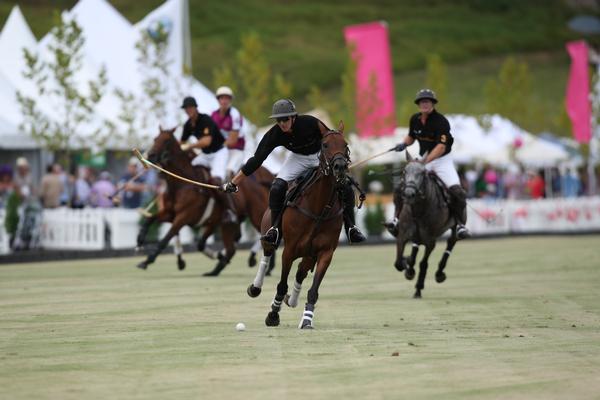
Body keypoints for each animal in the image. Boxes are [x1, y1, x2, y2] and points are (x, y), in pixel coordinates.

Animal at [136, 127, 272, 276]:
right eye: (155, 138)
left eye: (166, 140)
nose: (150, 155)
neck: (181, 185)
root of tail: (261, 182)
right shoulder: (169, 213)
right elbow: (150, 219)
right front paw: (140, 240)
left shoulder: (183, 217)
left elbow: (166, 238)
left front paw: (146, 261)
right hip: (227, 223)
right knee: (231, 248)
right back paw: (215, 269)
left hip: (256, 215)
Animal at [246, 121, 350, 328]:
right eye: (325, 144)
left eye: (345, 144)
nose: (340, 166)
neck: (319, 209)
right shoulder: (290, 250)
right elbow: (281, 284)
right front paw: (273, 315)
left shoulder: (325, 252)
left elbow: (313, 289)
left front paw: (307, 319)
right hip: (270, 234)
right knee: (267, 255)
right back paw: (255, 288)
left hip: (309, 253)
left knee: (301, 272)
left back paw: (292, 300)